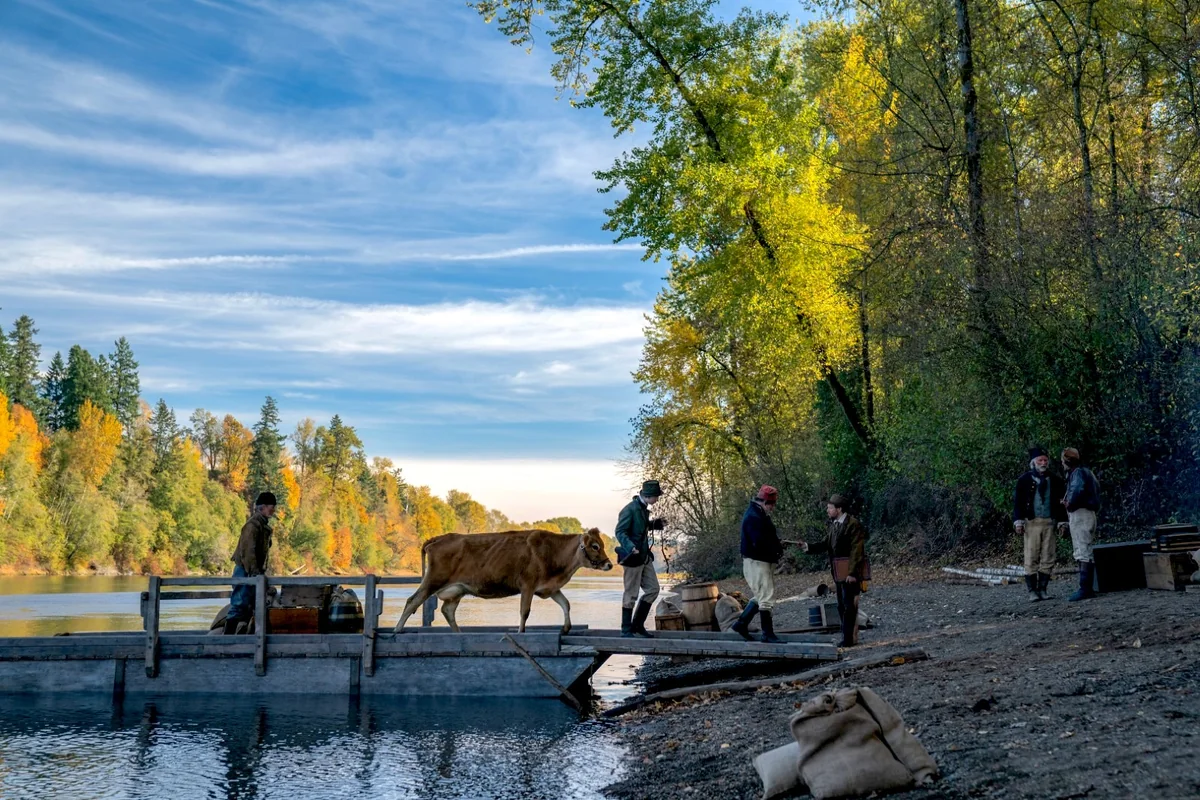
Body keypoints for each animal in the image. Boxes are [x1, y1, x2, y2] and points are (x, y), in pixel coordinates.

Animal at [394, 527, 613, 634]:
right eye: (595, 546)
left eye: (601, 544)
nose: (609, 564)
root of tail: (439, 538)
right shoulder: (528, 585)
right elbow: (525, 612)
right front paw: (520, 632)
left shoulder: (549, 588)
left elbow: (566, 604)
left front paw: (566, 628)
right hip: (433, 580)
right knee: (413, 600)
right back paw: (397, 630)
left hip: (456, 590)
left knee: (447, 611)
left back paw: (459, 634)